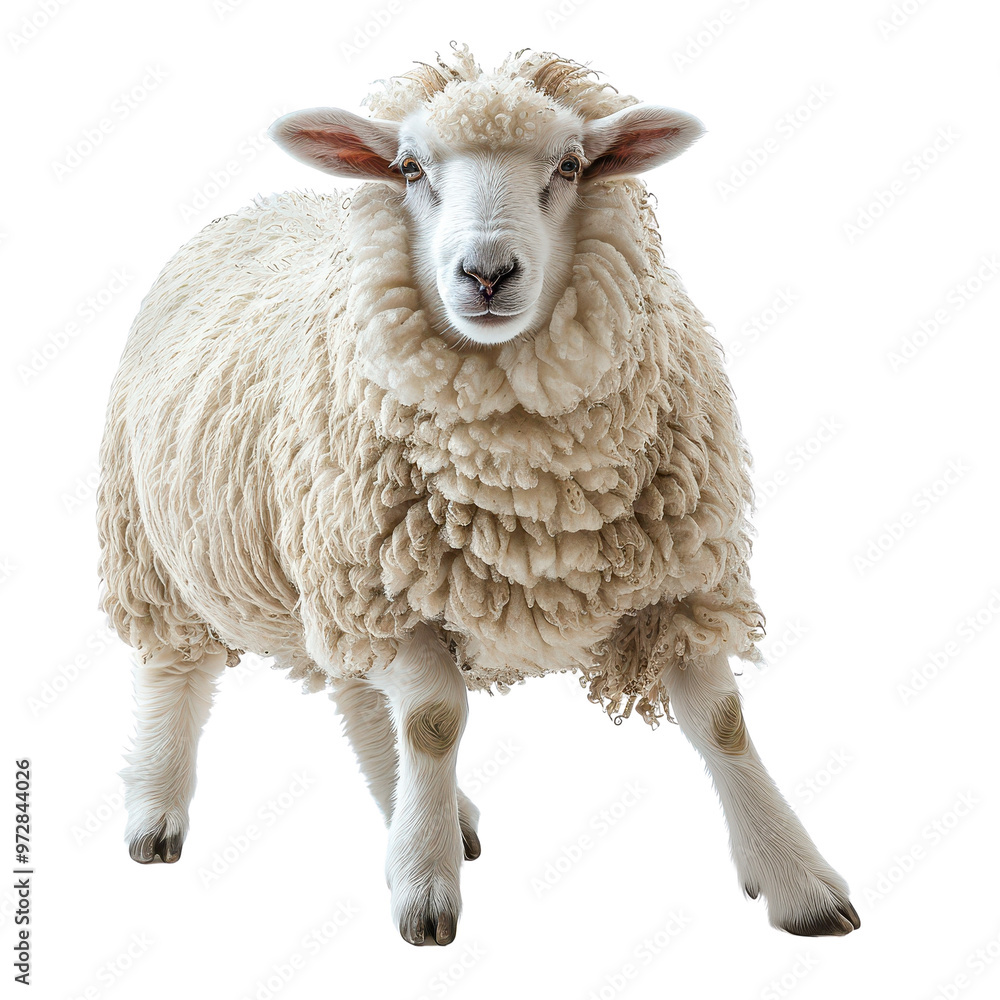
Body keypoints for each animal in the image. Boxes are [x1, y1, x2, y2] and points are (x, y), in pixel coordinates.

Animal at [97, 44, 860, 946]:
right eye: (409, 168)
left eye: (571, 165)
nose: (487, 274)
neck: (532, 485)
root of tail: (261, 205)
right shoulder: (388, 587)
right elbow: (434, 720)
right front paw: (426, 889)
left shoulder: (680, 576)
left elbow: (723, 724)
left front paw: (797, 880)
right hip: (158, 546)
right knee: (175, 670)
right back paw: (156, 812)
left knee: (359, 700)